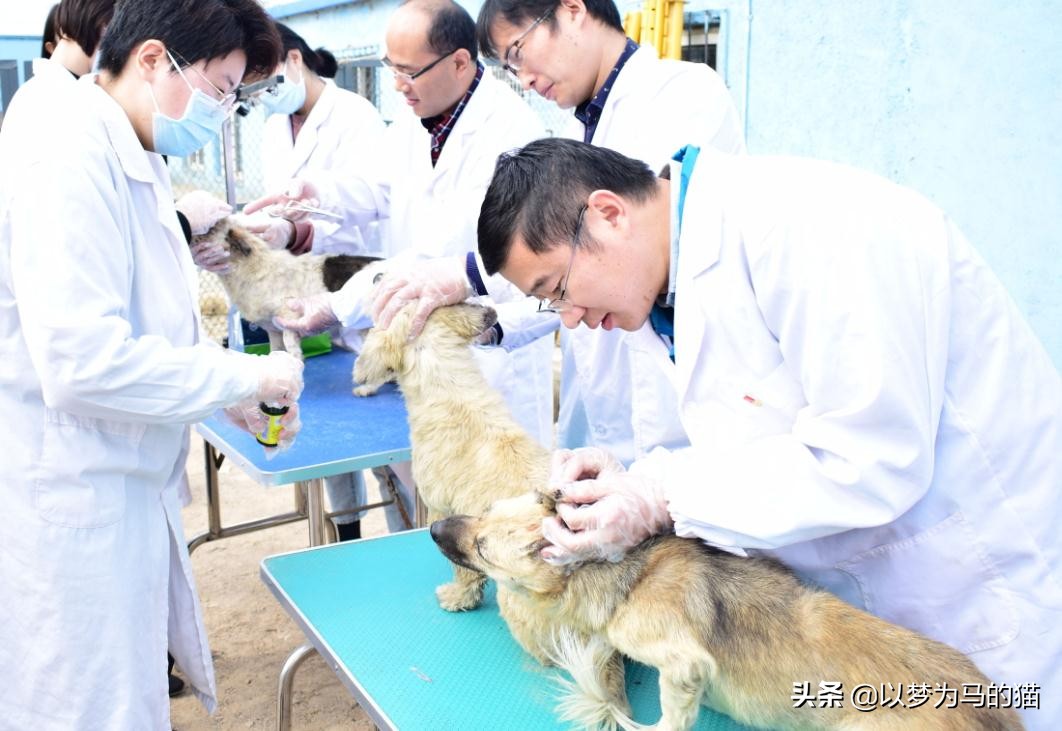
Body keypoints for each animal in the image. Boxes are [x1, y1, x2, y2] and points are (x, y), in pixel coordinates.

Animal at [194, 215, 382, 359]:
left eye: (210, 228)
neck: (255, 269)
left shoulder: (288, 320)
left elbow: (292, 350)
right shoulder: (273, 331)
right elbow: (275, 351)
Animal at [429, 490, 1019, 731]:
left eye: (483, 548)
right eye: (481, 512)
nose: (433, 527)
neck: (630, 574)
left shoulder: (683, 665)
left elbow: (668, 716)